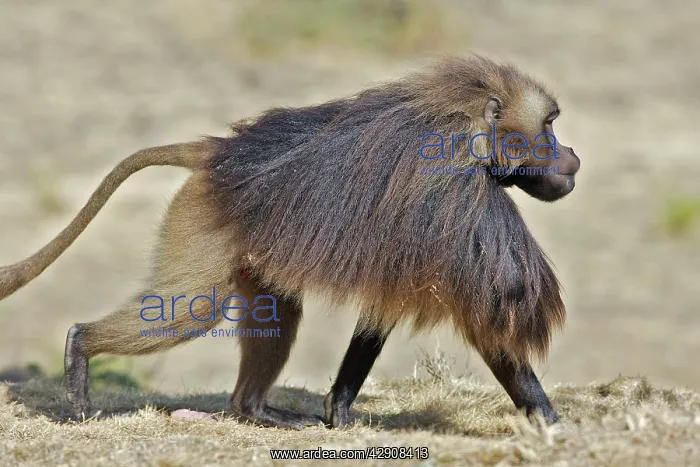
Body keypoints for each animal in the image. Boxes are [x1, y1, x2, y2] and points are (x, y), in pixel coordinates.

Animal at [0, 55, 580, 429]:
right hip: (203, 220)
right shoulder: (455, 196)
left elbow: (382, 312)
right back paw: (79, 357)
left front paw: (338, 411)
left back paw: (256, 410)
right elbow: (492, 314)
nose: (572, 157)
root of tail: (219, 152)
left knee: (275, 307)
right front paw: (550, 421)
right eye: (550, 124)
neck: (468, 123)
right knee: (193, 309)